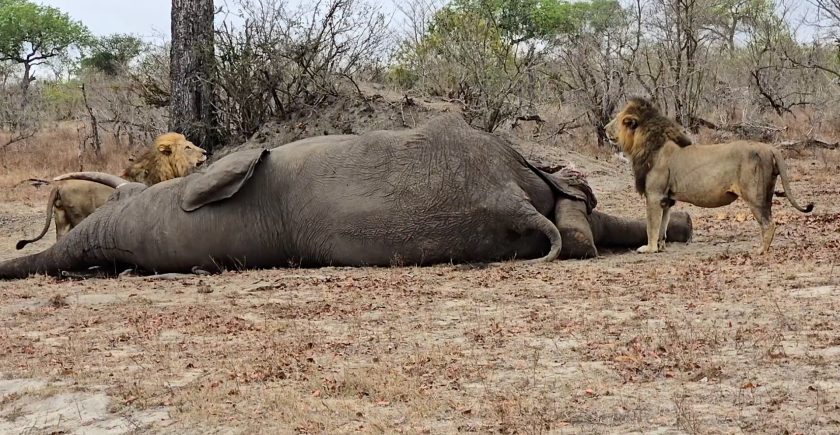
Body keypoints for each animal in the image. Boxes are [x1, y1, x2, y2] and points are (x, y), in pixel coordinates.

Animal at [608, 98, 812, 255]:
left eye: (617, 120)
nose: (604, 127)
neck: (643, 144)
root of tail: (770, 148)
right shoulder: (666, 199)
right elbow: (662, 227)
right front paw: (659, 247)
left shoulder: (654, 195)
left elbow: (651, 226)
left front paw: (648, 249)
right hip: (766, 193)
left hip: (755, 197)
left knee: (769, 225)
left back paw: (761, 251)